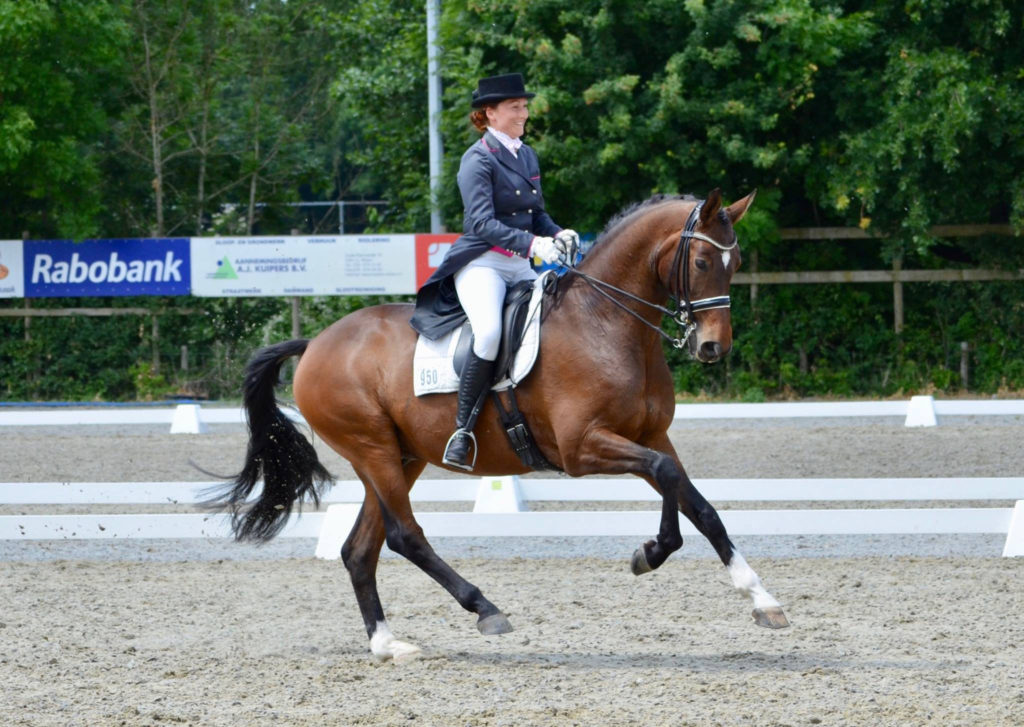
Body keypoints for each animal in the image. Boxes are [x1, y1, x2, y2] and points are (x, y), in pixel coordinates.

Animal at [203, 185, 786, 663]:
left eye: (735, 263)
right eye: (704, 259)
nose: (712, 347)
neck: (607, 323)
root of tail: (316, 343)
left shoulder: (648, 435)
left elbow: (693, 499)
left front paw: (751, 594)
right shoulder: (582, 448)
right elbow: (667, 476)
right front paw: (658, 554)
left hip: (398, 456)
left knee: (360, 549)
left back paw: (389, 645)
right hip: (372, 450)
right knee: (405, 536)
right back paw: (485, 608)